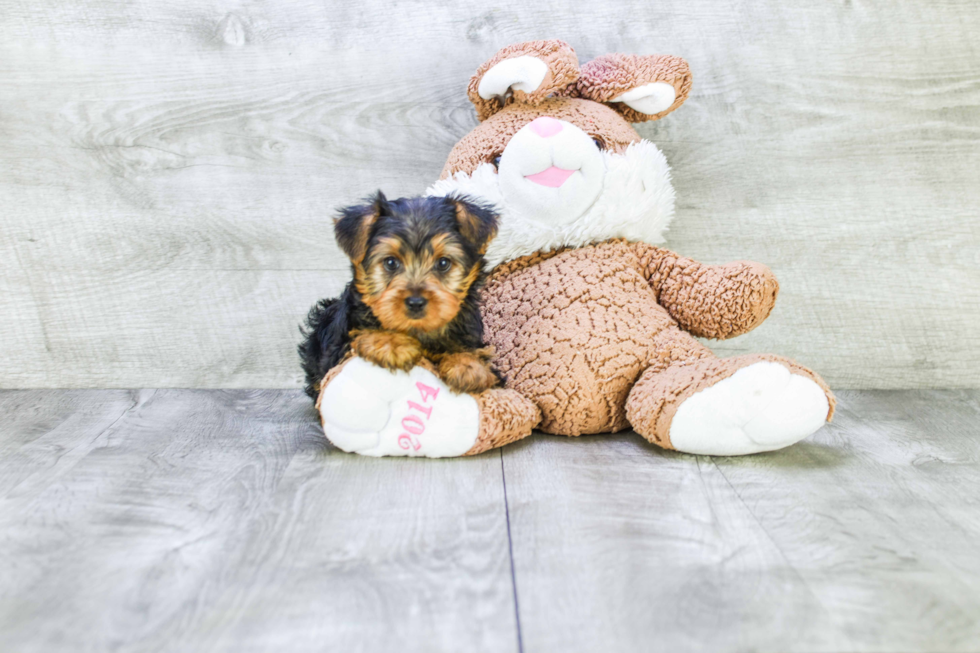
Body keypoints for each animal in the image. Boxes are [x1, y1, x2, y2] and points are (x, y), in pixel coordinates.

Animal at [296, 191, 498, 400]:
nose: (415, 302)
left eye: (443, 263)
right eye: (391, 262)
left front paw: (468, 365)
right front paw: (392, 342)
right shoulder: (340, 347)